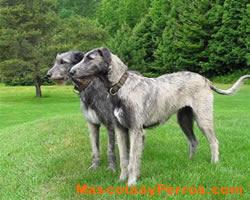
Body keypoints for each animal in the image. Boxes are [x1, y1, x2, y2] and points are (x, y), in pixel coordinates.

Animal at [70, 47, 250, 186]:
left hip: (203, 118)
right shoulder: (120, 130)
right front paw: (121, 180)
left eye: (90, 58)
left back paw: (214, 163)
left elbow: (133, 159)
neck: (121, 86)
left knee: (214, 141)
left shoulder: (136, 130)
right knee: (193, 141)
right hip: (184, 119)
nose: (71, 72)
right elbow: (124, 159)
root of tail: (205, 80)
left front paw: (131, 183)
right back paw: (190, 162)